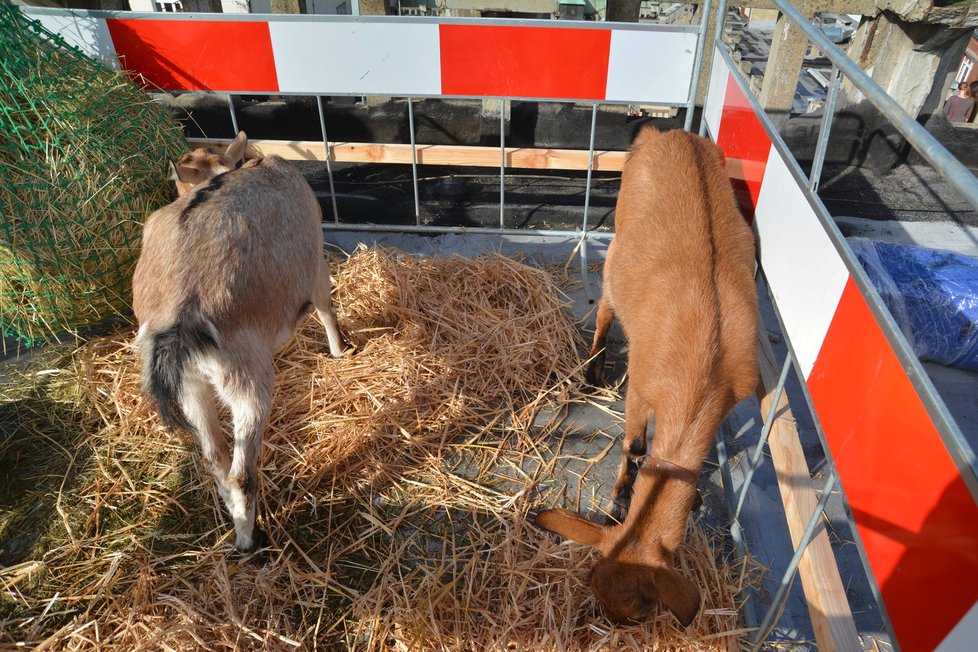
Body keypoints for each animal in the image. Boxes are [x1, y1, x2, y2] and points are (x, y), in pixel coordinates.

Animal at [130, 135, 344, 552]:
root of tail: (178, 316)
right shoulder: (316, 266)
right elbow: (327, 309)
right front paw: (340, 351)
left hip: (192, 385)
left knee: (215, 456)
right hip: (245, 376)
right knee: (242, 472)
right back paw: (249, 539)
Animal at [532, 126, 756, 628]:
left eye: (637, 608)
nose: (612, 626)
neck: (705, 364)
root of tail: (668, 132)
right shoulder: (641, 384)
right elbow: (635, 445)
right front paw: (619, 499)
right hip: (616, 246)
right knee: (605, 308)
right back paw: (591, 371)